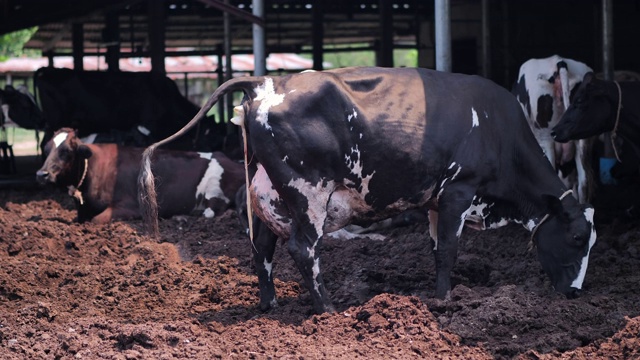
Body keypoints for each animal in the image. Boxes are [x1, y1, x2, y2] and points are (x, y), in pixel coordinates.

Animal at [36, 128, 244, 224]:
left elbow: (96, 220)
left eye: (66, 151)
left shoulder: (131, 207)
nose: (41, 174)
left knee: (212, 211)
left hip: (215, 190)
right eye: (46, 149)